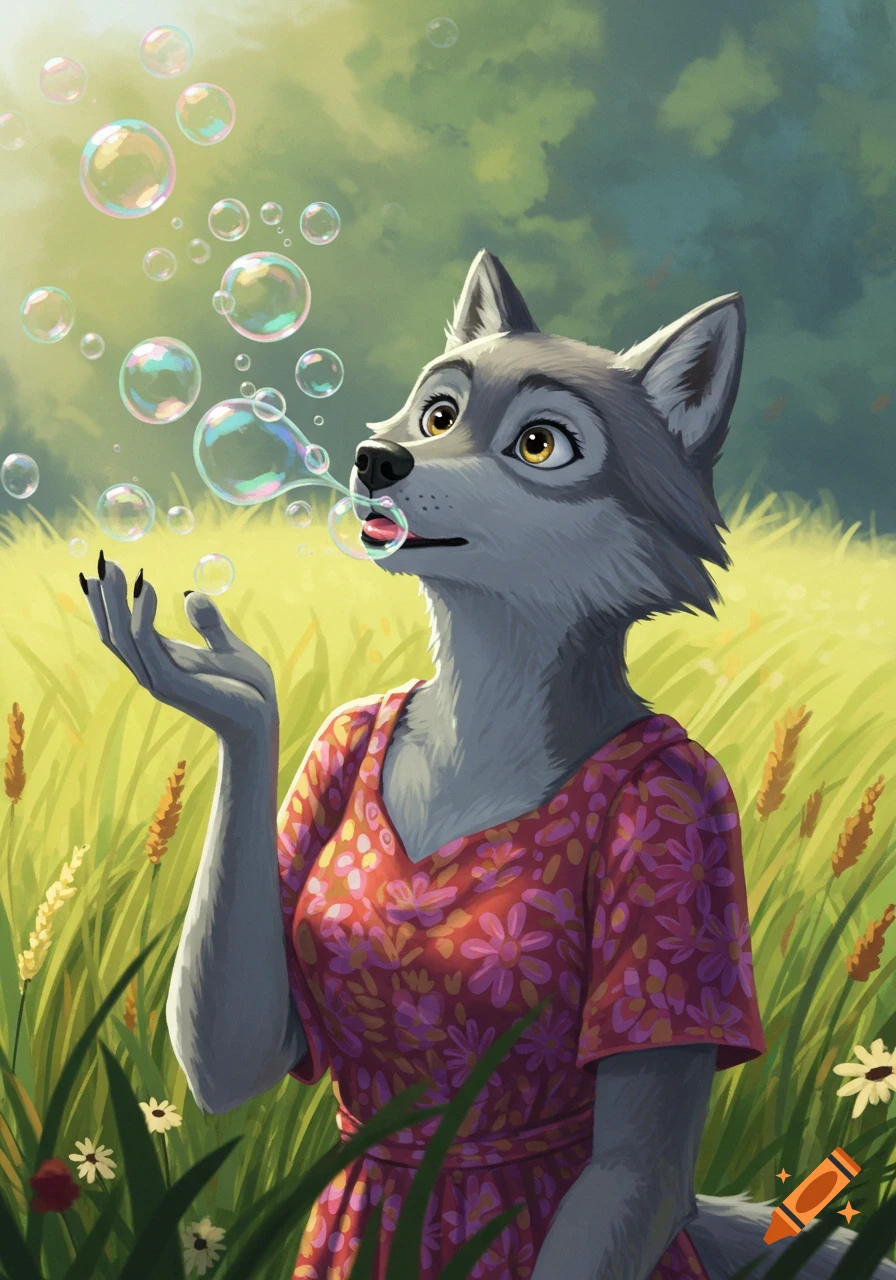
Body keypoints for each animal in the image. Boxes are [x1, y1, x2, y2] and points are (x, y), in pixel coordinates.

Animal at [80, 249, 896, 1279]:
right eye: (437, 415)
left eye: (541, 444)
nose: (375, 459)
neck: (490, 700)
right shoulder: (326, 742)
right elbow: (240, 1055)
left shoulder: (692, 814)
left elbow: (632, 1165)